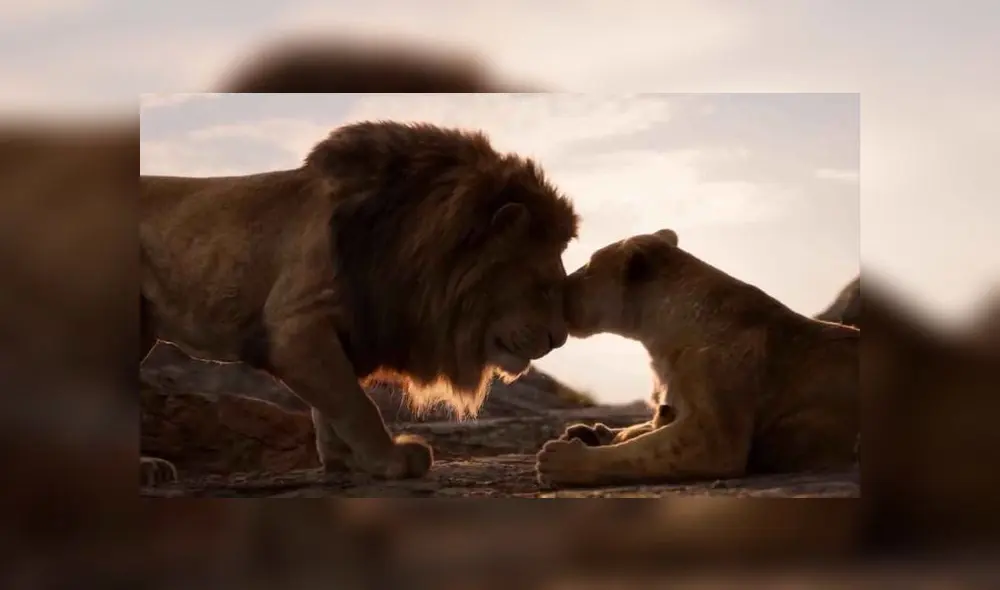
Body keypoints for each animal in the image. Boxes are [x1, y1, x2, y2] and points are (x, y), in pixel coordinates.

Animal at [141, 121, 578, 484]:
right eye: (543, 286)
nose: (559, 339)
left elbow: (333, 407)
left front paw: (346, 461)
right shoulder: (295, 326)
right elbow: (356, 404)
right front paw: (390, 461)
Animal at [536, 228, 859, 488]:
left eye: (588, 267)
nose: (558, 288)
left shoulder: (714, 432)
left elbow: (640, 451)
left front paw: (558, 458)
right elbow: (642, 431)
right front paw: (589, 432)